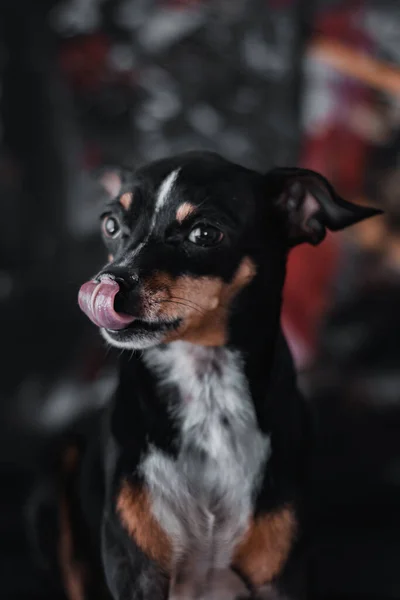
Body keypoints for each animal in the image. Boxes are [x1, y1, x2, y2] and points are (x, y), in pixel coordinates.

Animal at [60, 151, 382, 600]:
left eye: (204, 234)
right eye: (110, 225)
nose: (106, 284)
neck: (206, 387)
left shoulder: (281, 578)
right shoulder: (136, 573)